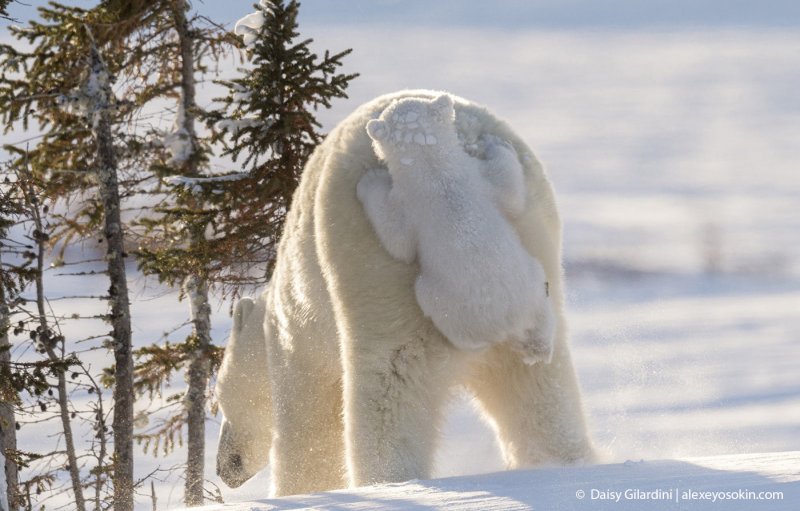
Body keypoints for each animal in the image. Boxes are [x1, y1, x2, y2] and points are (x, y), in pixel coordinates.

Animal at [216, 90, 592, 498]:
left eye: (217, 398)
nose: (224, 468)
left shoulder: (298, 336)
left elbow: (309, 424)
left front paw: (300, 490)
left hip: (372, 269)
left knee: (389, 385)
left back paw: (388, 481)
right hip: (535, 243)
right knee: (539, 387)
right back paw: (561, 461)